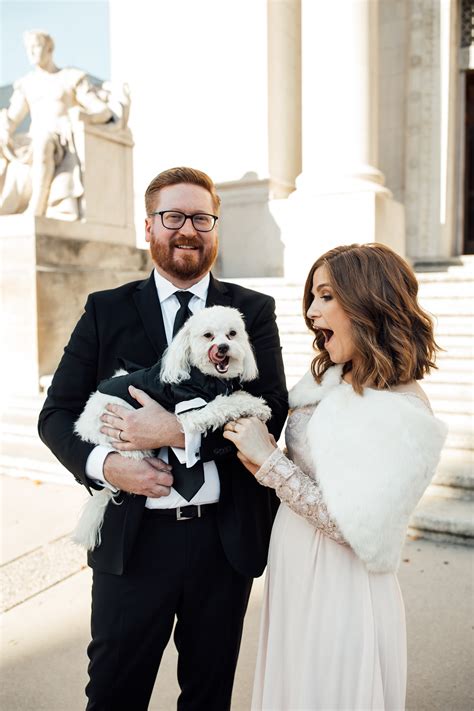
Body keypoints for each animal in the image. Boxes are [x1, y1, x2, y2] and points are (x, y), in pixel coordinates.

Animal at [71, 306, 270, 552]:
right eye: (208, 336)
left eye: (232, 334)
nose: (223, 347)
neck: (209, 378)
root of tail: (83, 430)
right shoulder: (191, 411)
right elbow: (224, 404)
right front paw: (253, 406)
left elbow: (236, 394)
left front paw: (255, 403)